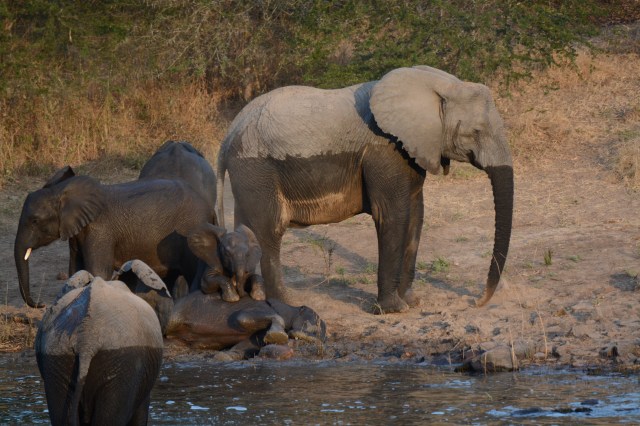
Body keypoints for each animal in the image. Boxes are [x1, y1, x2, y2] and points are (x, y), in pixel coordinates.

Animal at [14, 165, 212, 308]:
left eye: (34, 221)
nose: (41, 304)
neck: (61, 191)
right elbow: (76, 270)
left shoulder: (100, 232)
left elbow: (97, 272)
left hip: (190, 229)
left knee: (192, 273)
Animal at [165, 291, 326, 359]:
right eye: (316, 325)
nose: (323, 341)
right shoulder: (260, 308)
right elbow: (243, 317)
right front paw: (278, 336)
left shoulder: (257, 336)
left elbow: (243, 347)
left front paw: (224, 356)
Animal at [216, 65, 513, 313]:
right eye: (476, 132)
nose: (477, 302)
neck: (438, 84)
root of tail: (228, 134)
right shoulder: (384, 151)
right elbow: (393, 216)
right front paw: (393, 309)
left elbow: (416, 216)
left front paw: (412, 302)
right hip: (256, 169)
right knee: (268, 232)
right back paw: (285, 304)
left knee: (246, 231)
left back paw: (249, 296)